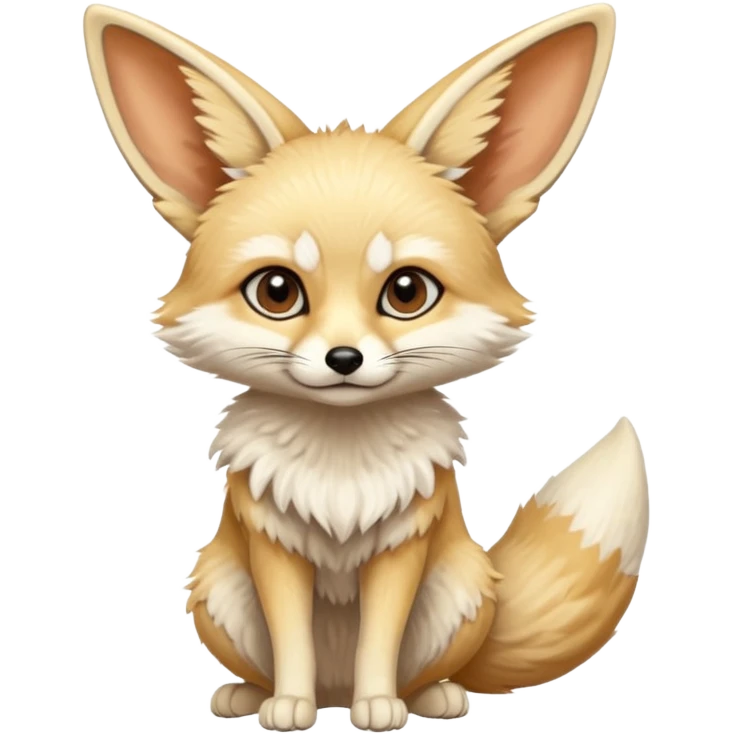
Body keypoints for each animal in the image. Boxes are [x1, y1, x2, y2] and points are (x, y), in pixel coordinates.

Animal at [83, 3, 649, 731]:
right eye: (276, 292)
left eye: (407, 292)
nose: (344, 359)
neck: (341, 467)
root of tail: (336, 686)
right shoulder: (272, 547)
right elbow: (290, 640)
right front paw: (289, 707)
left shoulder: (403, 548)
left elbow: (381, 639)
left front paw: (378, 705)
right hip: (218, 588)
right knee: (270, 663)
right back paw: (254, 696)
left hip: (457, 589)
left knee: (425, 669)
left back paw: (425, 697)